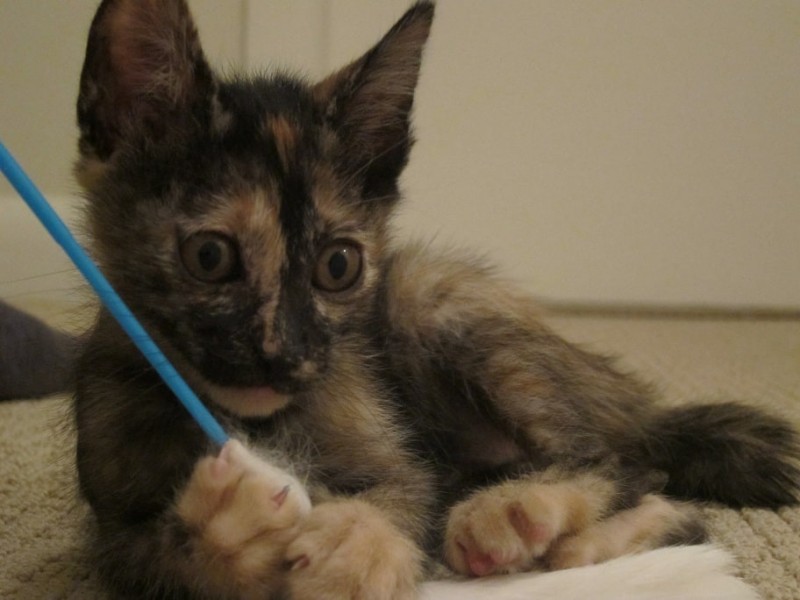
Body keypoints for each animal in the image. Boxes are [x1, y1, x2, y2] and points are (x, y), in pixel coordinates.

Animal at [4, 0, 797, 598]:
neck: (253, 416)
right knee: (672, 500)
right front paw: (228, 534)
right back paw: (579, 548)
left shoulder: (401, 455)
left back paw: (523, 510)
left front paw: (360, 540)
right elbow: (163, 559)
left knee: (627, 465)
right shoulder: (112, 531)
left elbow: (405, 492)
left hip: (427, 296)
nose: (285, 356)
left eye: (339, 266)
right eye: (209, 257)